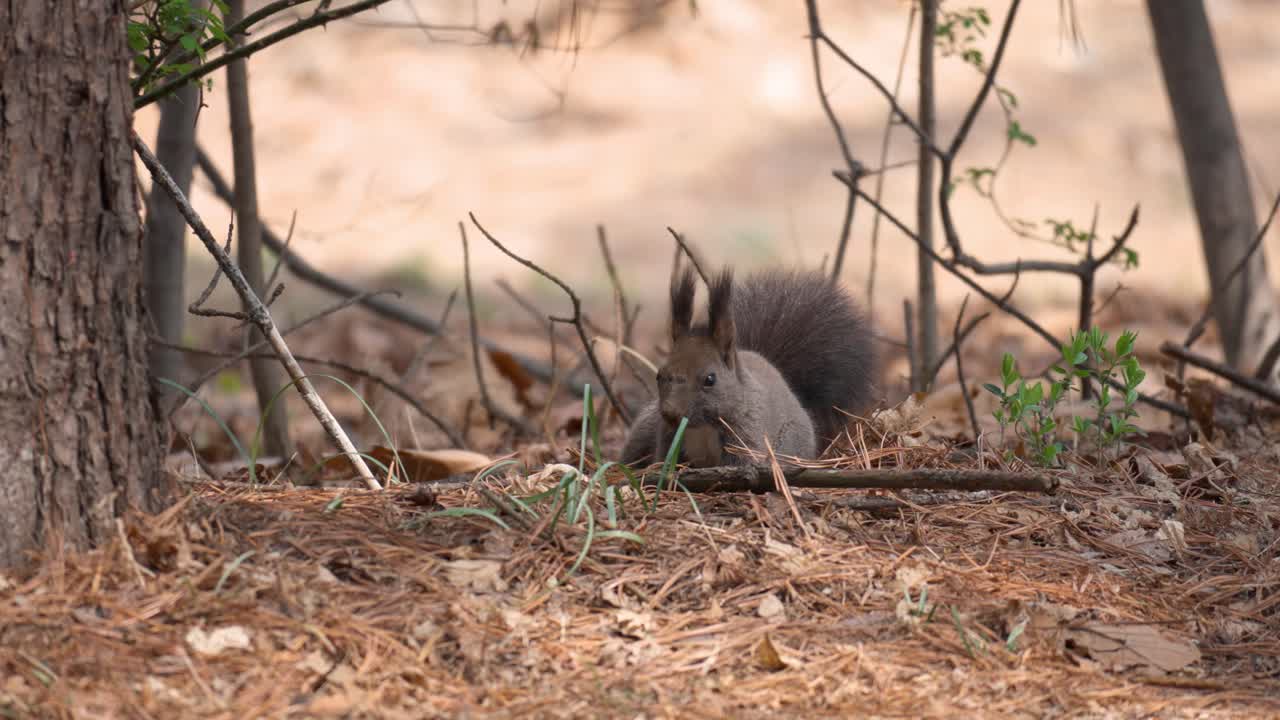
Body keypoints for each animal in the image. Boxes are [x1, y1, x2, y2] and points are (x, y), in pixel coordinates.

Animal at [621, 265, 875, 468]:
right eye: (659, 375)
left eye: (710, 379)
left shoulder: (747, 436)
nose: (671, 413)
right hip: (646, 425)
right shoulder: (667, 436)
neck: (702, 426)